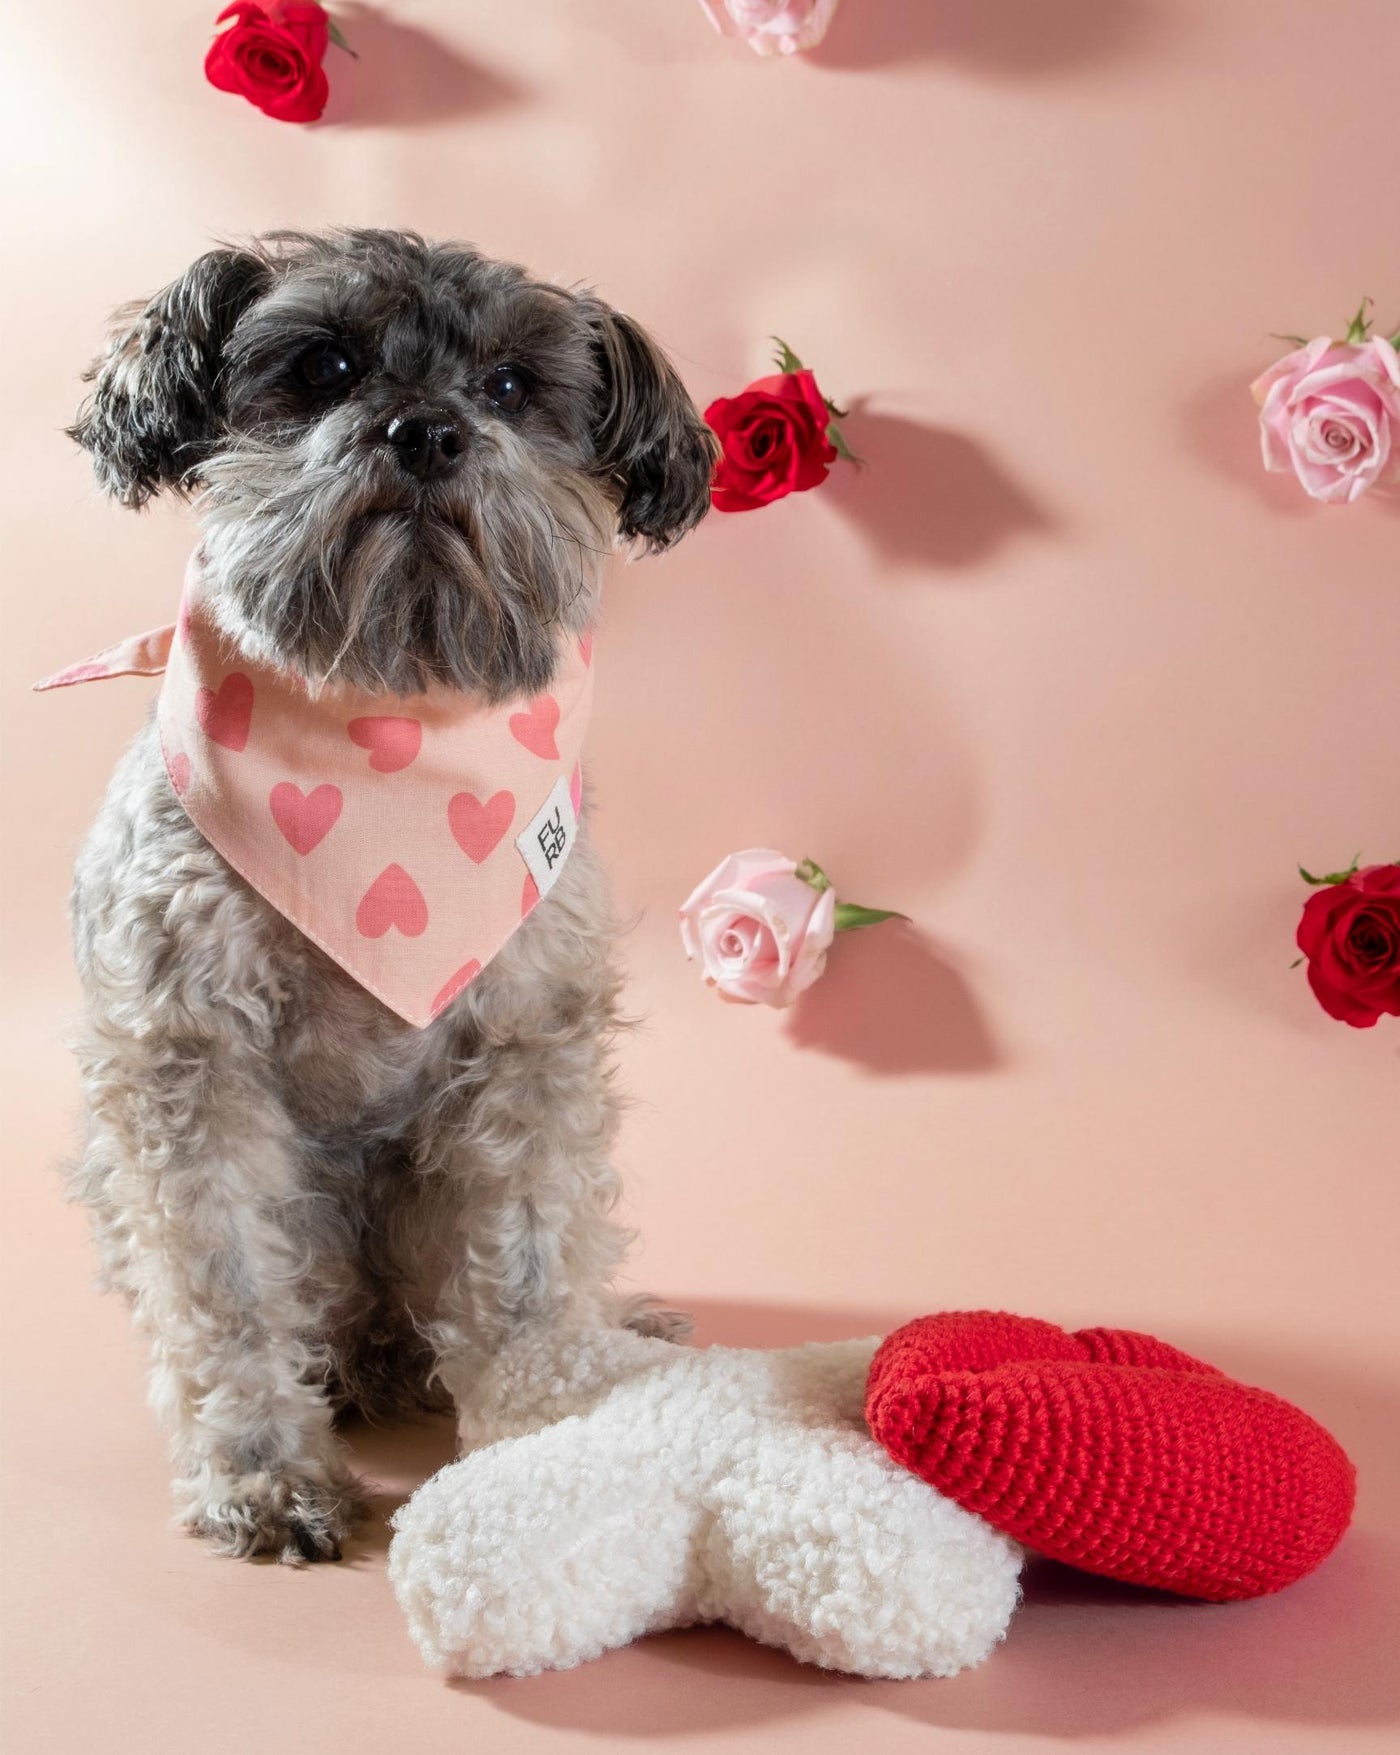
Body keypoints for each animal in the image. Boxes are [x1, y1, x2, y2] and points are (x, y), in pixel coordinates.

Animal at [65, 229, 719, 1565]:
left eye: (514, 387)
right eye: (325, 364)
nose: (425, 430)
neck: (386, 727)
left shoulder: (525, 1050)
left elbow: (523, 1268)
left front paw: (540, 1442)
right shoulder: (187, 1064)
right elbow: (224, 1292)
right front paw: (261, 1475)